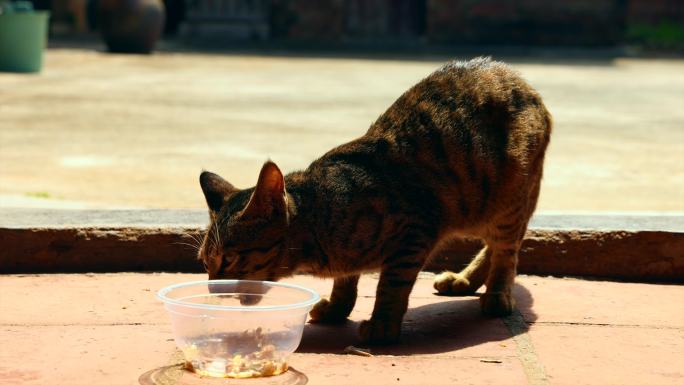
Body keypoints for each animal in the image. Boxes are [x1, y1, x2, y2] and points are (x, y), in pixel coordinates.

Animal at [196, 56, 552, 342]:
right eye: (205, 263)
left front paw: (382, 326)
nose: (212, 288)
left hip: (506, 199)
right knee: (495, 246)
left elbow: (390, 286)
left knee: (506, 250)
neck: (320, 220)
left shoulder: (413, 234)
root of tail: (525, 83)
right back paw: (465, 280)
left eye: (229, 259)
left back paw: (497, 294)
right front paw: (338, 307)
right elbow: (344, 282)